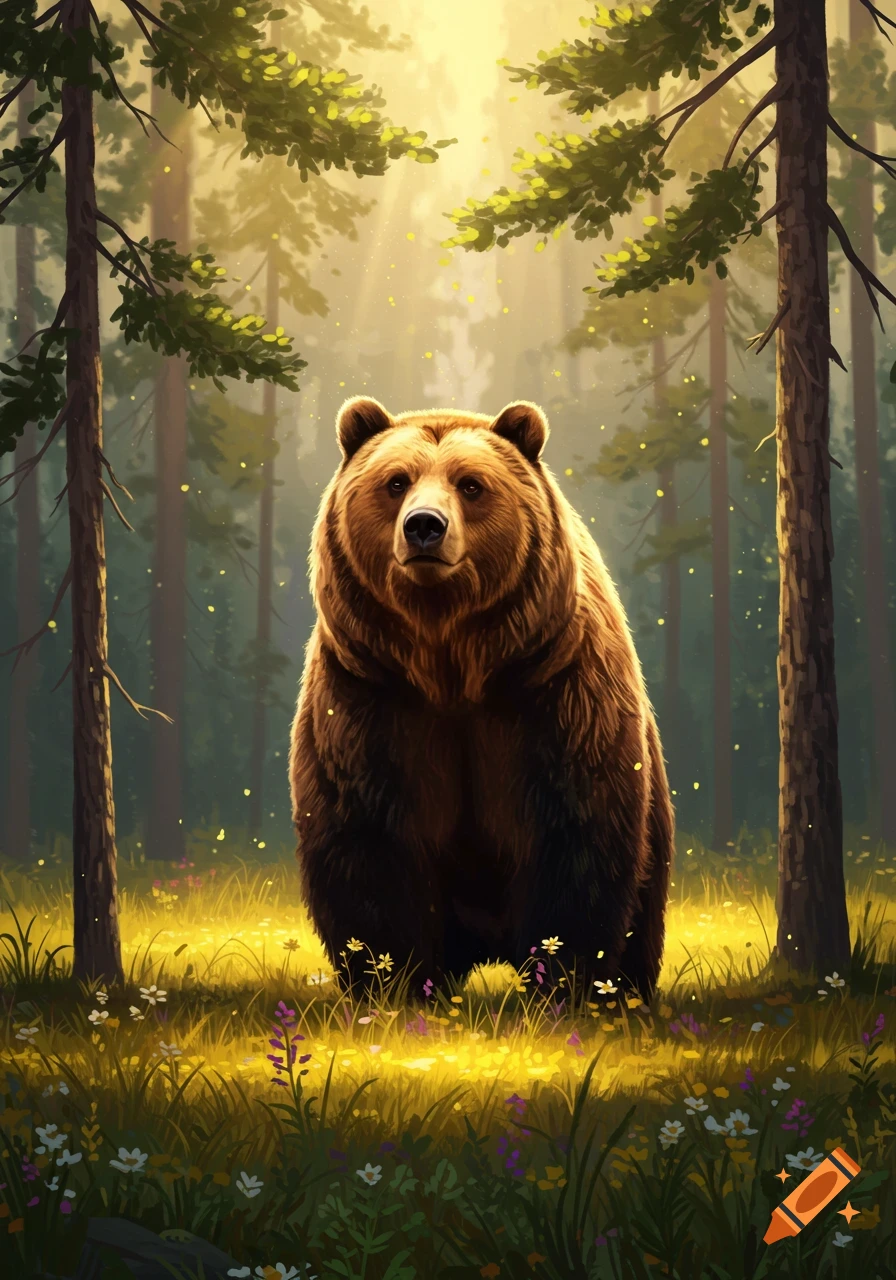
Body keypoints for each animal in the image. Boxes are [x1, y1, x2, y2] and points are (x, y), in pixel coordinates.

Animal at [289, 396, 674, 999]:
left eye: (470, 484)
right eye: (396, 481)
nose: (424, 526)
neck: (450, 663)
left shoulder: (556, 695)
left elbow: (575, 838)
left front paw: (563, 982)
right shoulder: (368, 700)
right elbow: (366, 843)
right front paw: (390, 983)